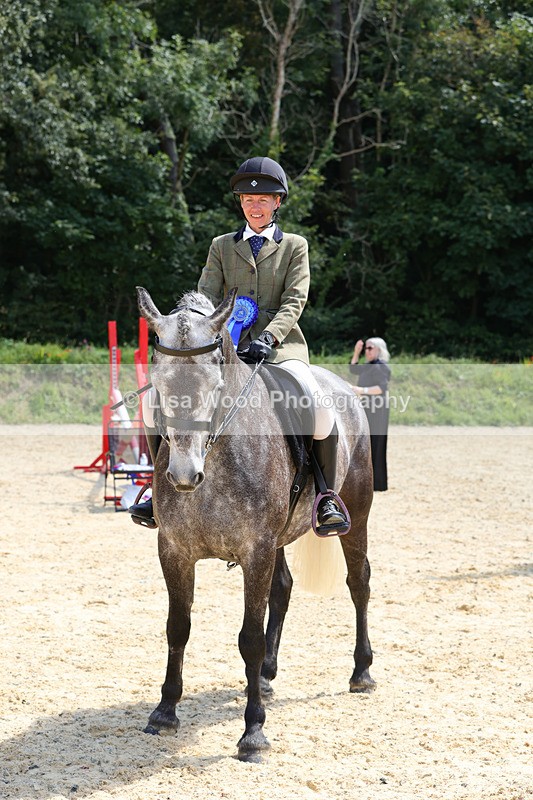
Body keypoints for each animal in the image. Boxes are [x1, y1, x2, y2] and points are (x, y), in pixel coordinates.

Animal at [137, 286, 375, 762]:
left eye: (214, 386)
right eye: (160, 386)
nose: (184, 475)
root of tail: (342, 387)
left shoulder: (255, 552)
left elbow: (248, 637)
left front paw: (253, 733)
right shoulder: (174, 550)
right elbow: (178, 626)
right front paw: (165, 712)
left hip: (356, 516)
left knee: (358, 582)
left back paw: (361, 672)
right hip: (280, 537)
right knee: (283, 589)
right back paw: (265, 675)